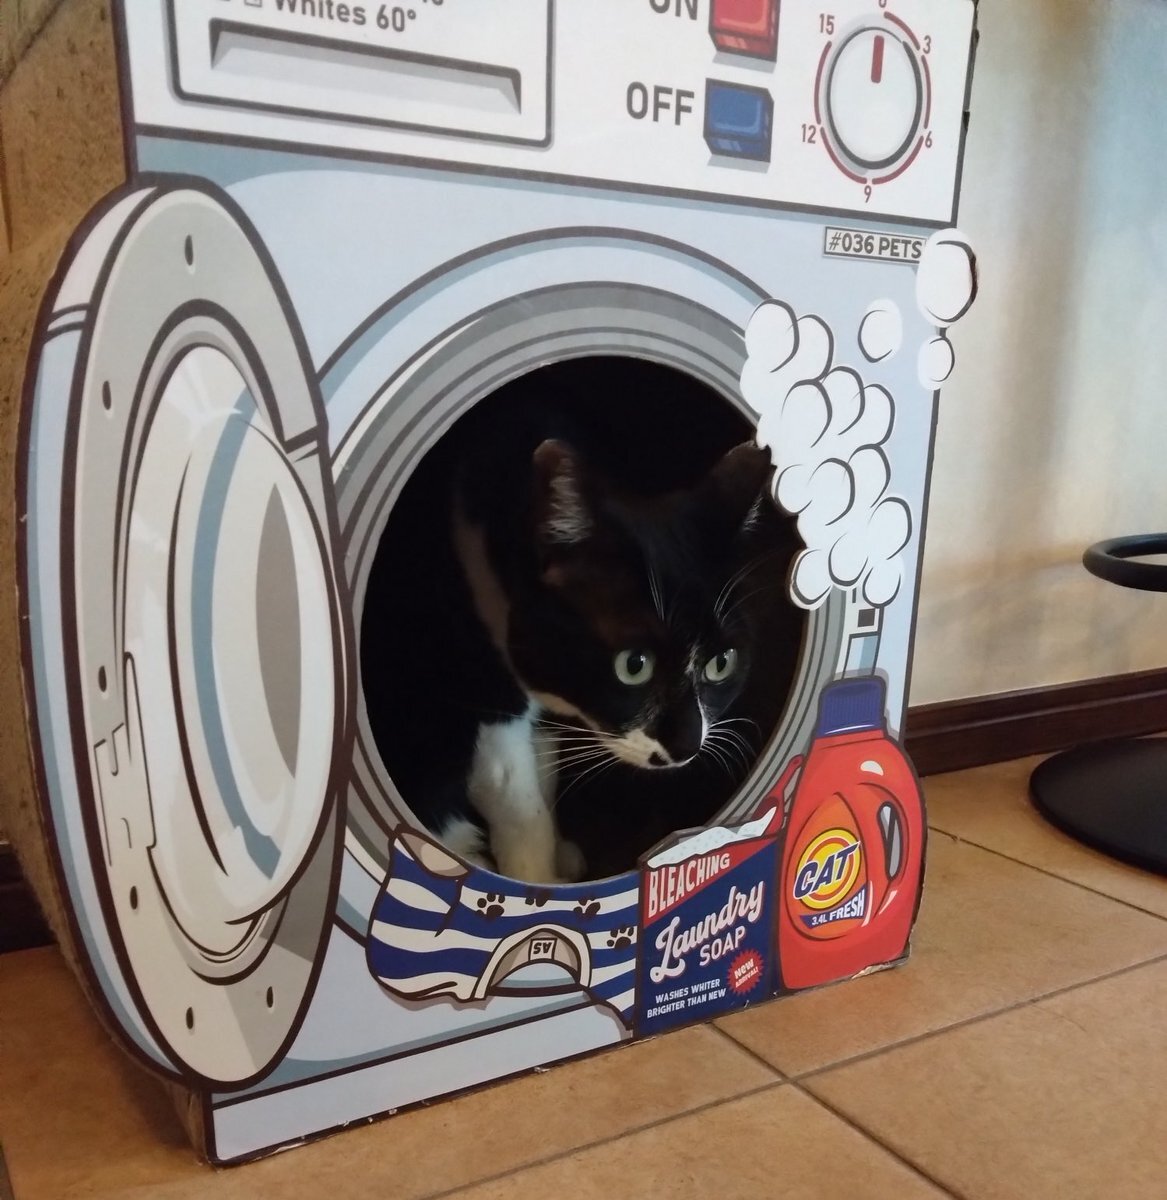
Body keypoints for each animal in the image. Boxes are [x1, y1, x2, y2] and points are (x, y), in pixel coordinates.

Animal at [361, 362, 803, 883]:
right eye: (634, 664)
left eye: (722, 663)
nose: (685, 745)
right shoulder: (489, 690)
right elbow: (516, 799)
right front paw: (536, 881)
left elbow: (545, 770)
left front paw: (559, 857)